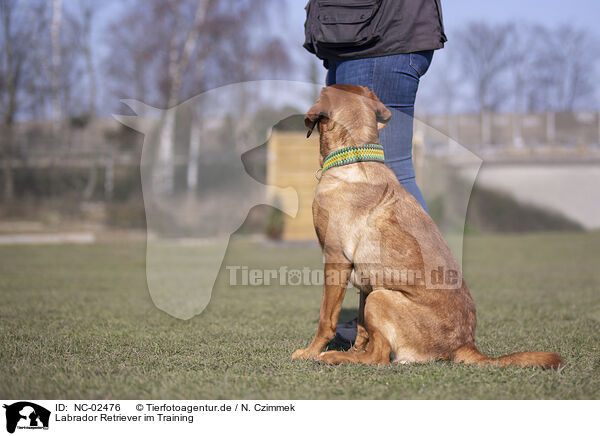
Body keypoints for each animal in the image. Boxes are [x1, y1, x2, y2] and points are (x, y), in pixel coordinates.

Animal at [290, 84, 564, 368]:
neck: (355, 158)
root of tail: (464, 344)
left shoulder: (336, 259)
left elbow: (326, 319)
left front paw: (310, 352)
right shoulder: (367, 278)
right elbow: (363, 329)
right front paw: (352, 349)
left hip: (381, 296)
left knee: (379, 357)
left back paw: (333, 356)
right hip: (379, 291)